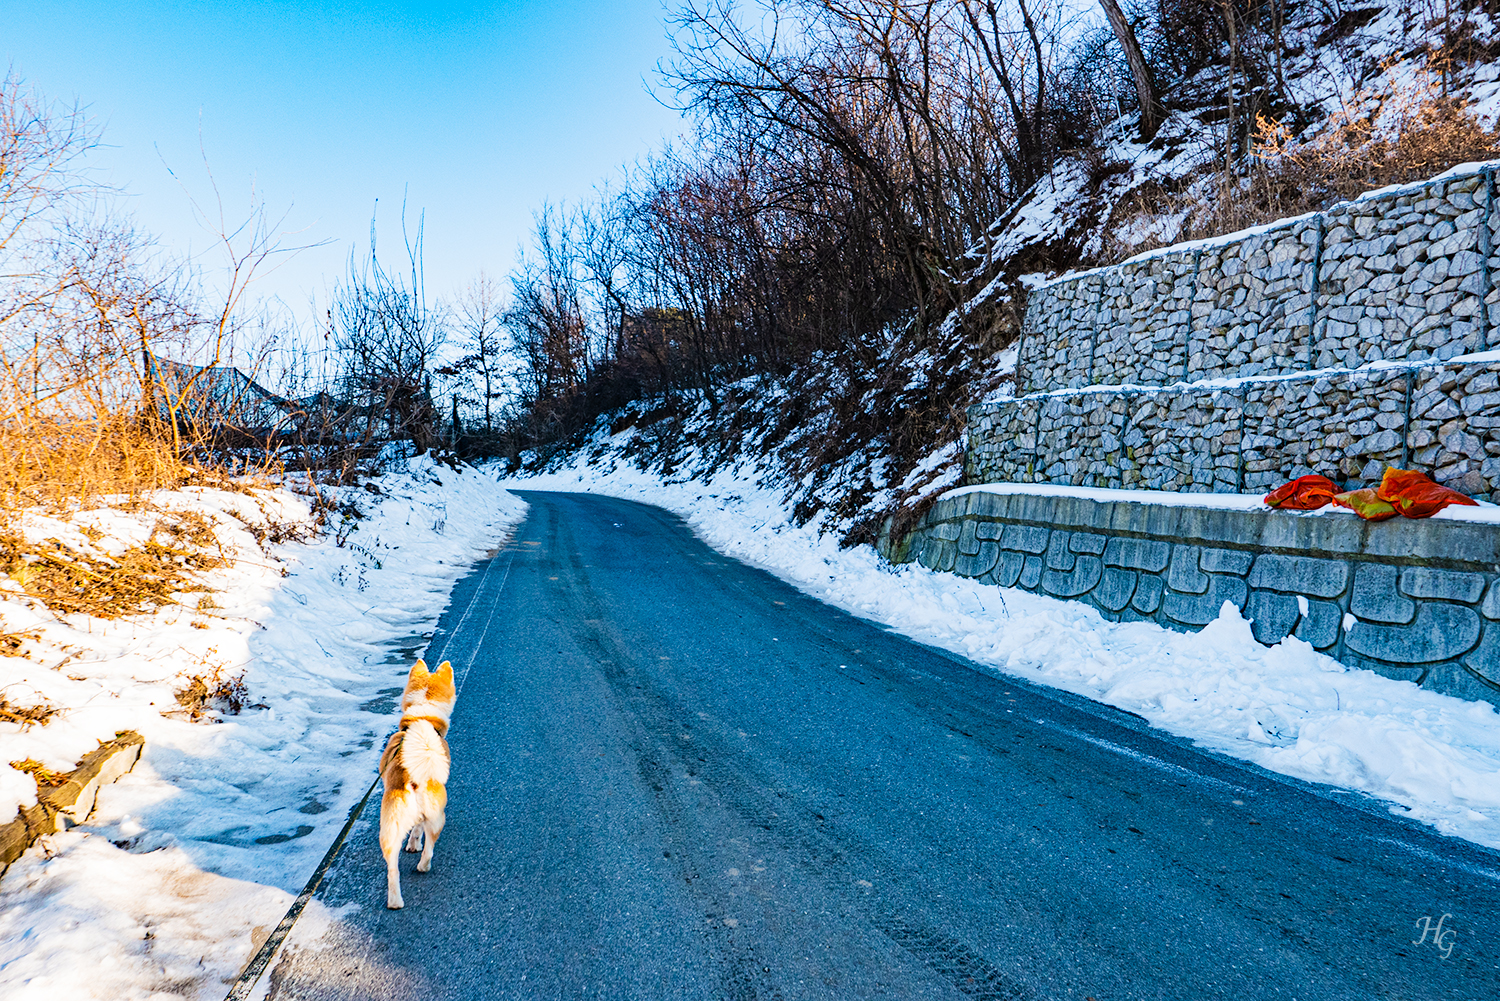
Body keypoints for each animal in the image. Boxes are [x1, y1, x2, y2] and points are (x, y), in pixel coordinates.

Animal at [378, 660, 453, 912]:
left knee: (393, 869)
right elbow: (418, 830)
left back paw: (395, 902)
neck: (424, 715)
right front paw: (414, 845)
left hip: (390, 829)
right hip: (438, 815)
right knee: (429, 849)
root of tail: (412, 779)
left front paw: (411, 845)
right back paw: (423, 867)